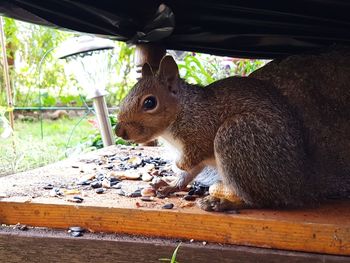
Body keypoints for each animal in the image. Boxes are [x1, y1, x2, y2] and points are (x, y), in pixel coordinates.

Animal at [117, 50, 350, 212]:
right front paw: (169, 185)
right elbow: (190, 172)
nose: (119, 131)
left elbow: (192, 158)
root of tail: (301, 183)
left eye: (150, 102)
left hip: (236, 136)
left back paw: (224, 203)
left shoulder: (201, 131)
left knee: (261, 201)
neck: (183, 110)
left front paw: (177, 166)